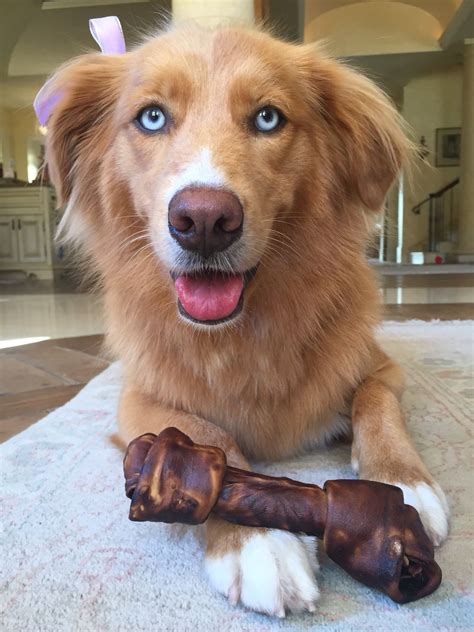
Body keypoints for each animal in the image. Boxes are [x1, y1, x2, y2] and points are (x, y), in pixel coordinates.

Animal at [41, 22, 448, 616]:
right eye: (152, 117)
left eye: (268, 118)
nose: (204, 221)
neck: (239, 334)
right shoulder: (138, 399)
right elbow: (206, 432)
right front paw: (258, 539)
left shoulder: (380, 367)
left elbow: (377, 404)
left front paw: (404, 483)